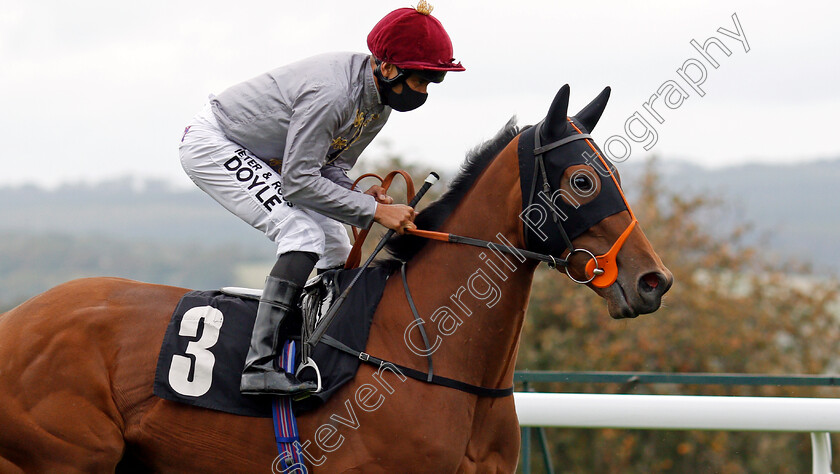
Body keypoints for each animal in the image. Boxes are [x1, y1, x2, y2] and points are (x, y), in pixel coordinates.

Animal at [0, 86, 668, 474]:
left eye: (613, 172)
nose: (653, 281)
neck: (432, 356)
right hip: (65, 457)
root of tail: (17, 319)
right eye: (582, 180)